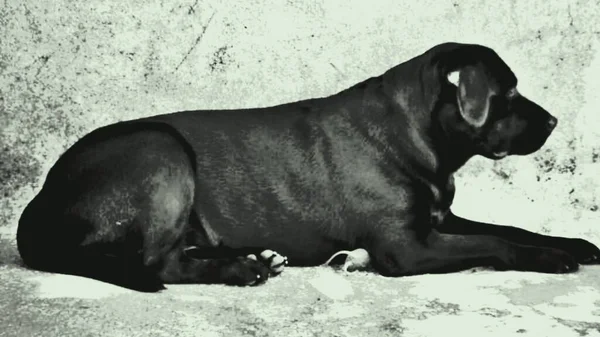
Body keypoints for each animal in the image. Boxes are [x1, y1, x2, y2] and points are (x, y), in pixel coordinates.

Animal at [16, 42, 596, 290]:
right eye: (508, 93)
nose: (553, 121)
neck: (418, 134)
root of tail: (36, 206)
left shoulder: (440, 219)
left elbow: (510, 226)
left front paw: (573, 243)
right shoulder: (408, 247)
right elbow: (495, 241)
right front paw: (549, 257)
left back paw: (252, 256)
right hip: (162, 149)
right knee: (155, 263)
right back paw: (241, 269)